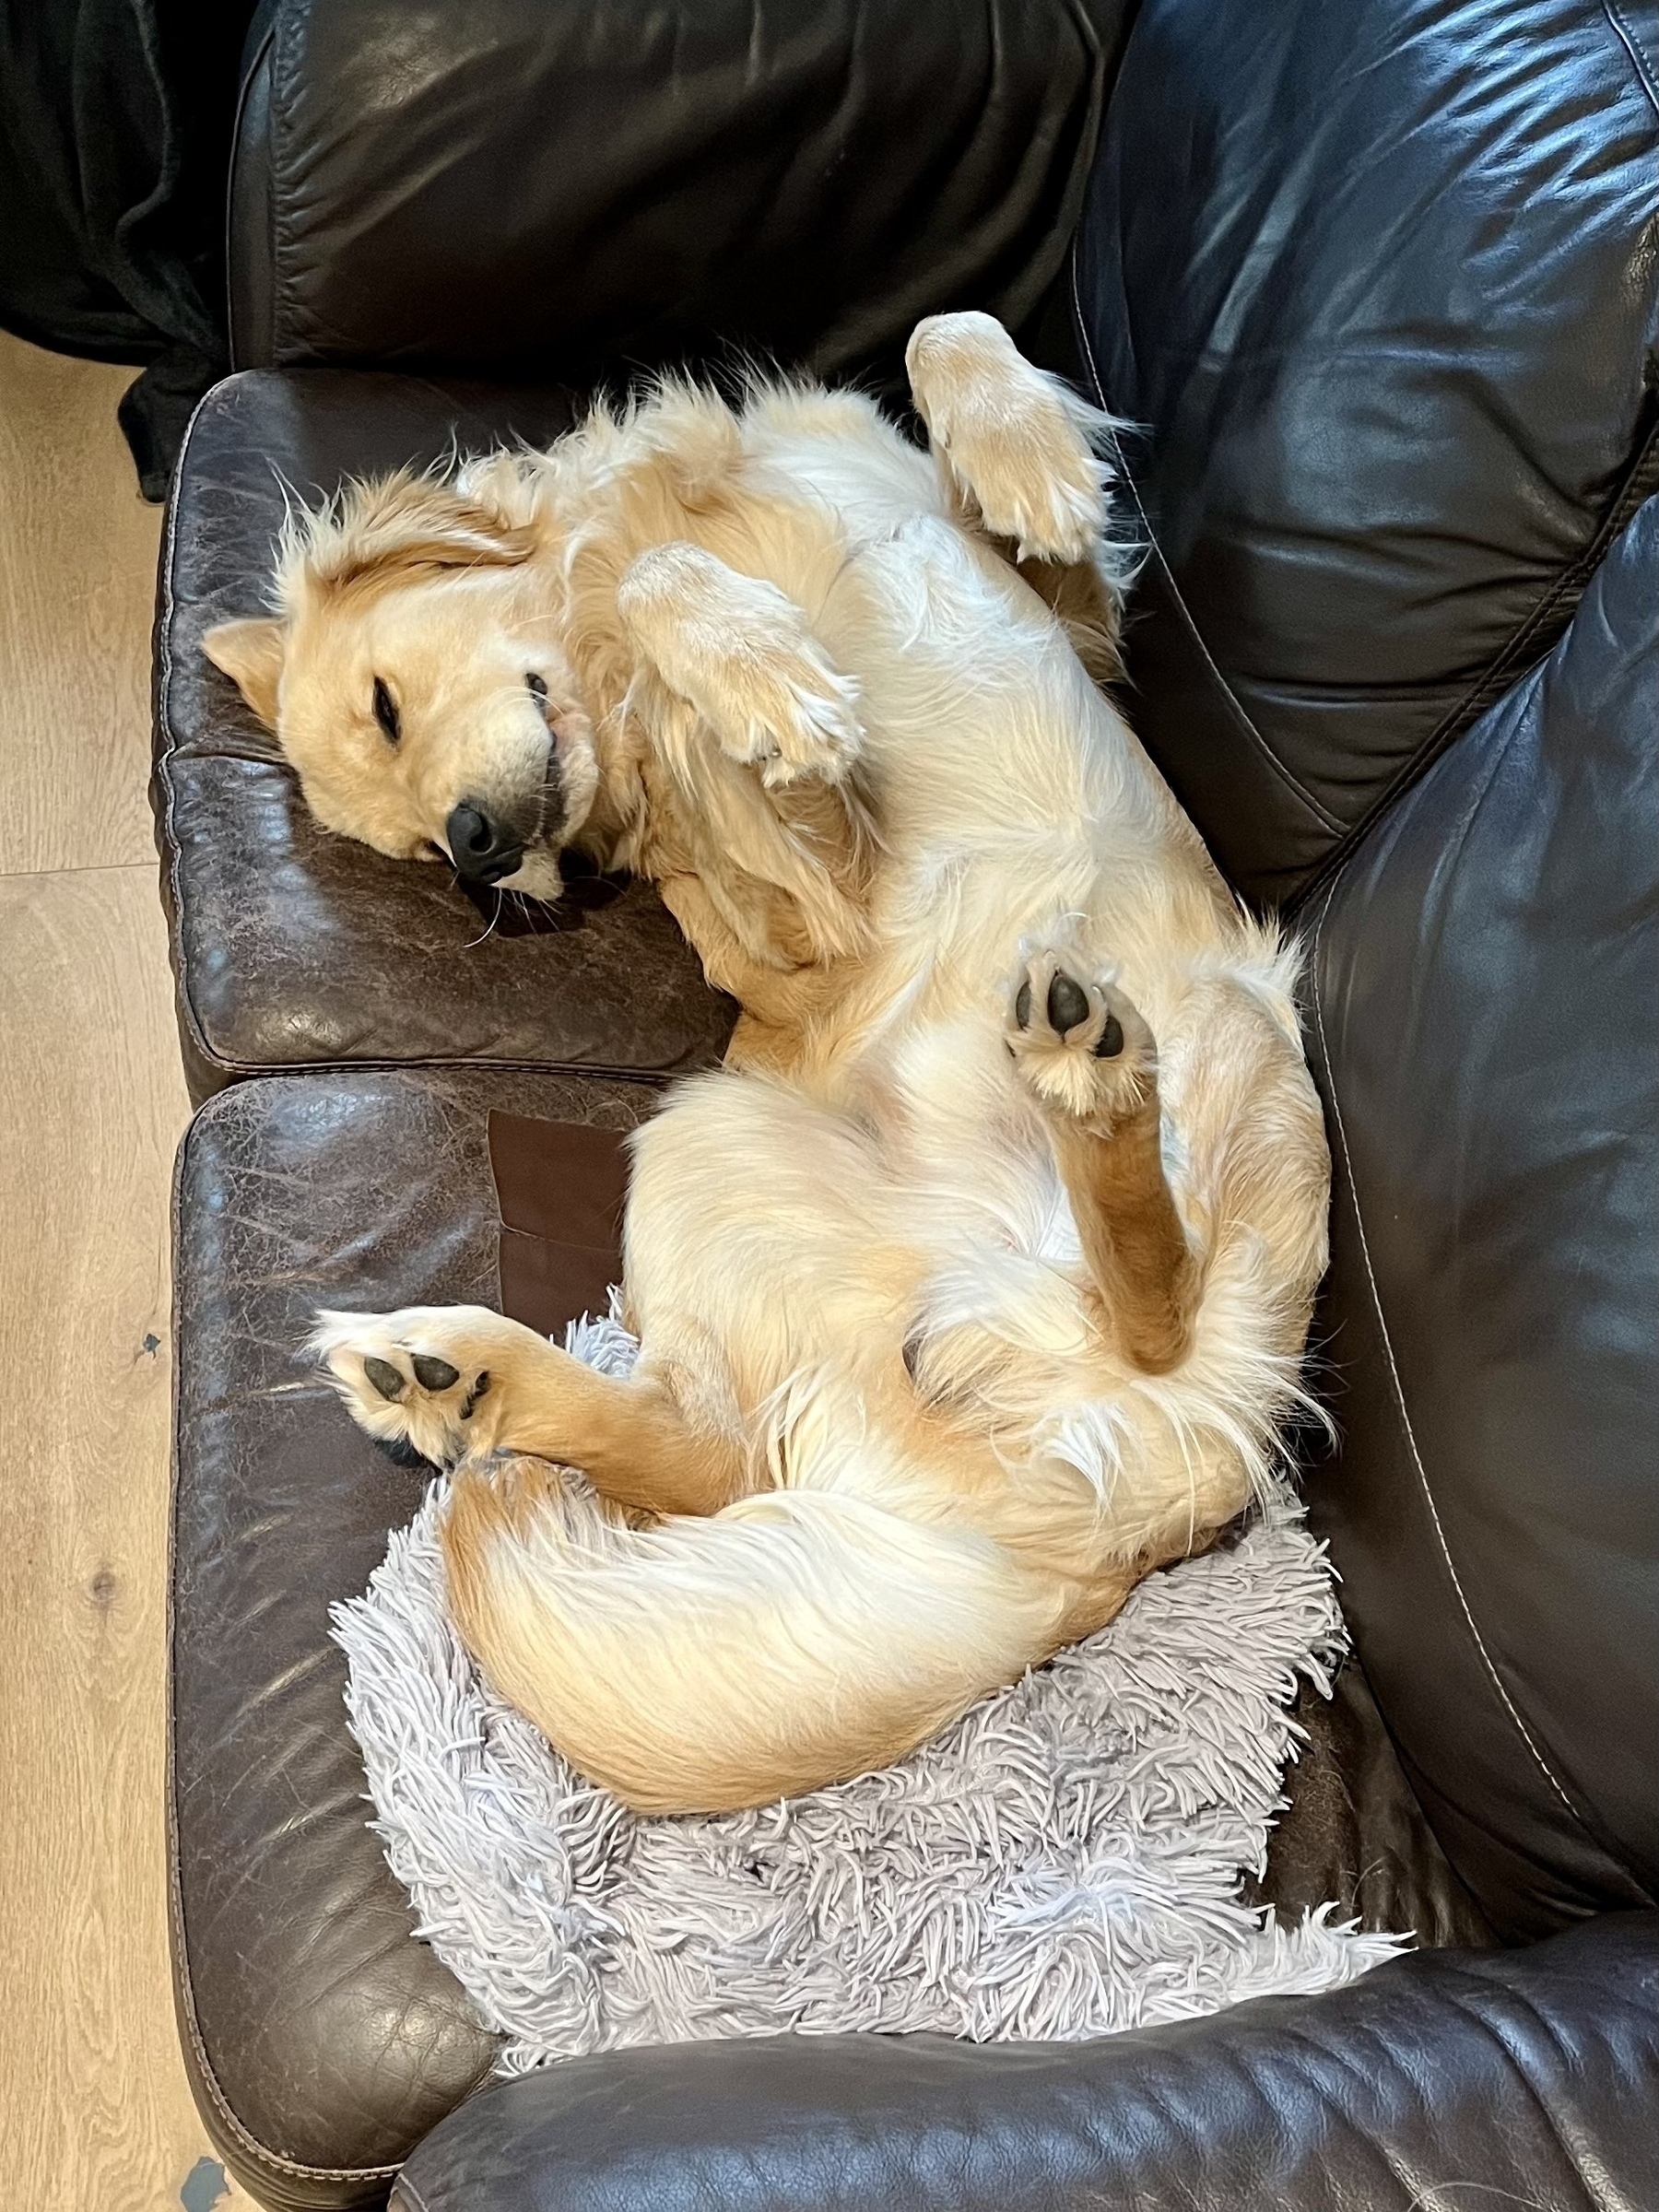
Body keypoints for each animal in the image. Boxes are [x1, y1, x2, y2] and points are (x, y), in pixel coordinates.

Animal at [207, 312, 1335, 1814]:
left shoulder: (1084, 637)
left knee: (720, 1458)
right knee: (1146, 1311)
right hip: (1110, 1074)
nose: (472, 850)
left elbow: (948, 339)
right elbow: (690, 627)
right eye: (413, 857)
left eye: (387, 708)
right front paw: (768, 677)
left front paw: (1025, 467)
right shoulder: (801, 923)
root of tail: (1057, 1556)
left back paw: (460, 1384)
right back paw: (1084, 1079)